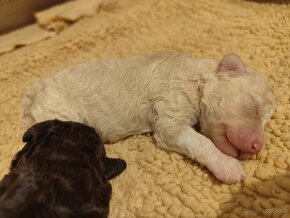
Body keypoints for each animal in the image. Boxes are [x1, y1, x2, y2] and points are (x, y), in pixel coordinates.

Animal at [21, 52, 276, 184]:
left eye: (266, 121)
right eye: (252, 105)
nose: (257, 146)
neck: (197, 78)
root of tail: (36, 90)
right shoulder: (170, 115)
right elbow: (202, 142)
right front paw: (228, 166)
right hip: (59, 113)